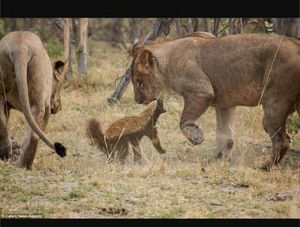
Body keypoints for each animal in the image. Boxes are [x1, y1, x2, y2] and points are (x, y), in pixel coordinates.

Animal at [0, 31, 67, 169]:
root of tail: (20, 47)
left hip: (1, 91)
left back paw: (6, 154)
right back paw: (25, 165)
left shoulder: (7, 105)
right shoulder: (47, 106)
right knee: (34, 134)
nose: (60, 106)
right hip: (39, 100)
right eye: (60, 84)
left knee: (2, 121)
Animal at [131, 32, 300, 170]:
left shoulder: (201, 91)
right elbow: (224, 135)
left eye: (139, 82)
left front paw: (196, 137)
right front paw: (218, 159)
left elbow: (183, 120)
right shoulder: (225, 104)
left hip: (275, 102)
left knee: (282, 140)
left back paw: (265, 165)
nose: (138, 101)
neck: (167, 61)